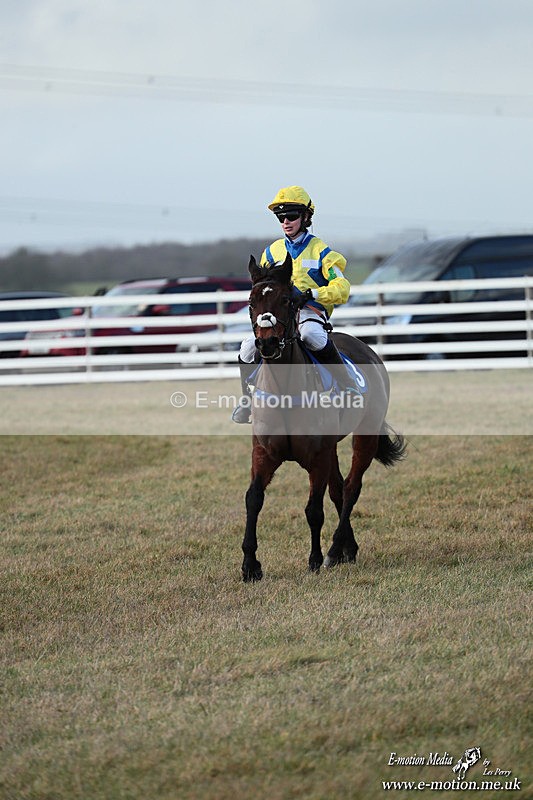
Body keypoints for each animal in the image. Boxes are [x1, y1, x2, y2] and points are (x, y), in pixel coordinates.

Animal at [241, 252, 406, 582]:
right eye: (252, 301)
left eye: (286, 300)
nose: (266, 343)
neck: (285, 392)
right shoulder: (264, 453)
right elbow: (254, 499)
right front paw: (250, 564)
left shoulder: (317, 457)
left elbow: (313, 510)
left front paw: (315, 559)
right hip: (332, 448)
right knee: (339, 489)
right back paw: (347, 549)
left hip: (365, 436)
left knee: (351, 488)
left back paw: (334, 550)